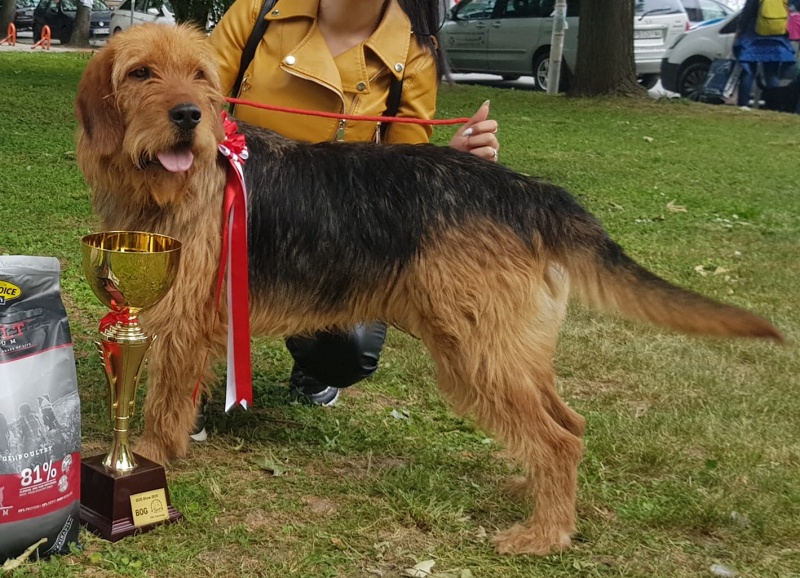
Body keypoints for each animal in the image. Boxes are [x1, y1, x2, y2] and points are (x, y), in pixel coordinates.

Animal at [73, 24, 780, 556]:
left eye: (200, 76)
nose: (190, 116)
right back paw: (536, 494)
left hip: (478, 350)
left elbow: (164, 403)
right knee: (569, 424)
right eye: (141, 73)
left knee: (559, 436)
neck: (174, 185)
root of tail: (528, 193)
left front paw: (146, 462)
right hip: (509, 348)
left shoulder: (182, 319)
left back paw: (544, 534)